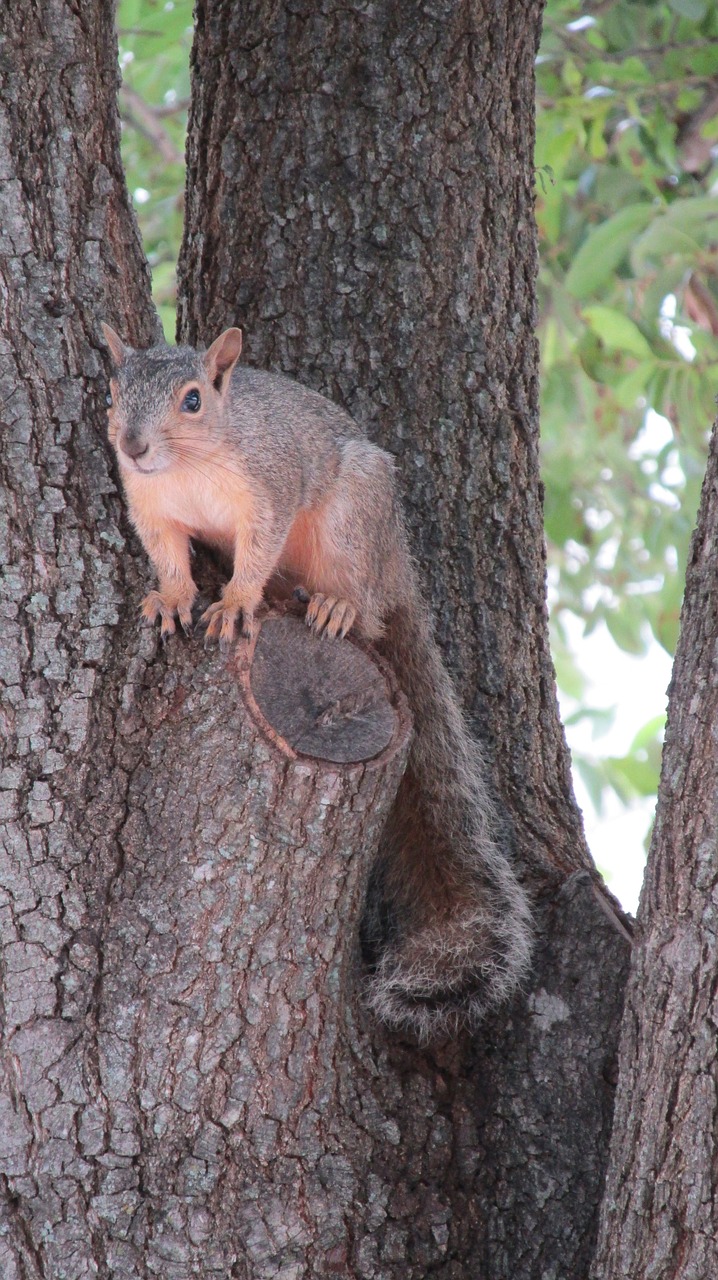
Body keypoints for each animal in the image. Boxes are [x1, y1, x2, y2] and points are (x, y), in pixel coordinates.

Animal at [101, 322, 529, 1039]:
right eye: (112, 390)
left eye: (193, 400)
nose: (132, 445)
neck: (188, 466)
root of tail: (398, 563)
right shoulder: (152, 509)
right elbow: (169, 558)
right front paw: (172, 599)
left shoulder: (269, 489)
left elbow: (257, 548)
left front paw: (235, 603)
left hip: (353, 521)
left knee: (361, 600)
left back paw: (333, 606)